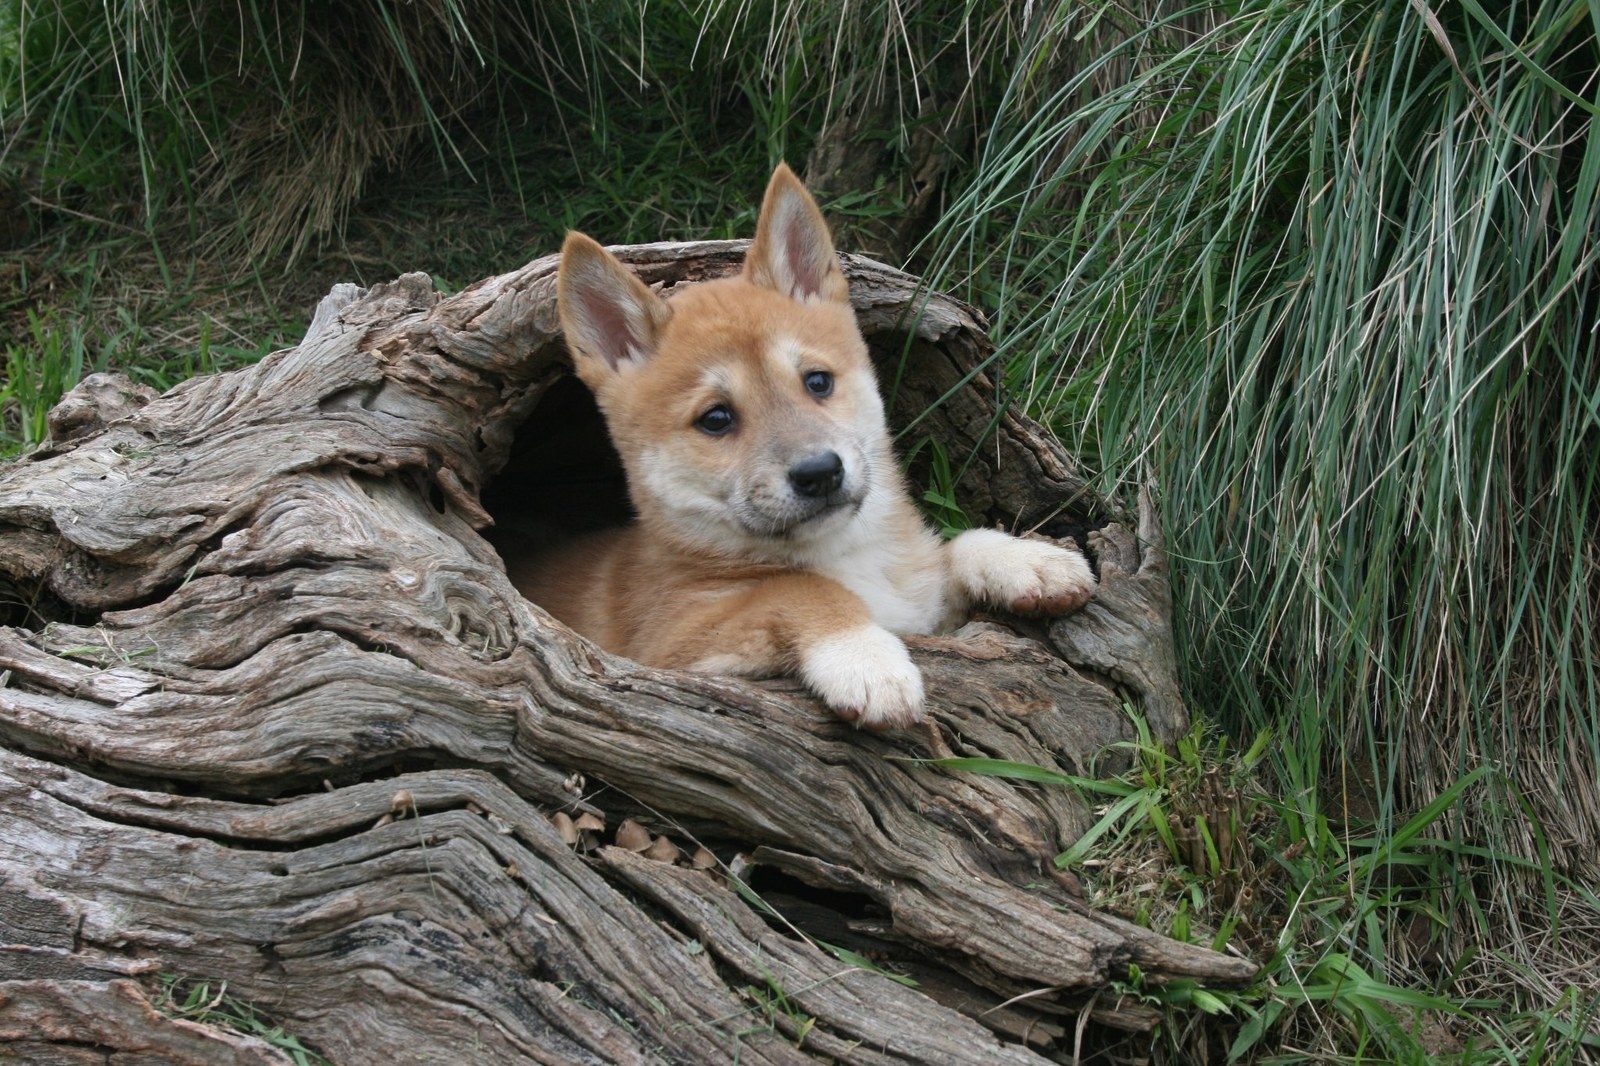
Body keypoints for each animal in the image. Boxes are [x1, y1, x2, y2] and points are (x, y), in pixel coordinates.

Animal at [518, 164, 1094, 729]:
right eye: (716, 418)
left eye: (817, 382)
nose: (820, 472)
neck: (848, 555)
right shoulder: (668, 643)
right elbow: (795, 589)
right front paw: (864, 658)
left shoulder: (923, 604)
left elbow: (953, 547)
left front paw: (1026, 560)